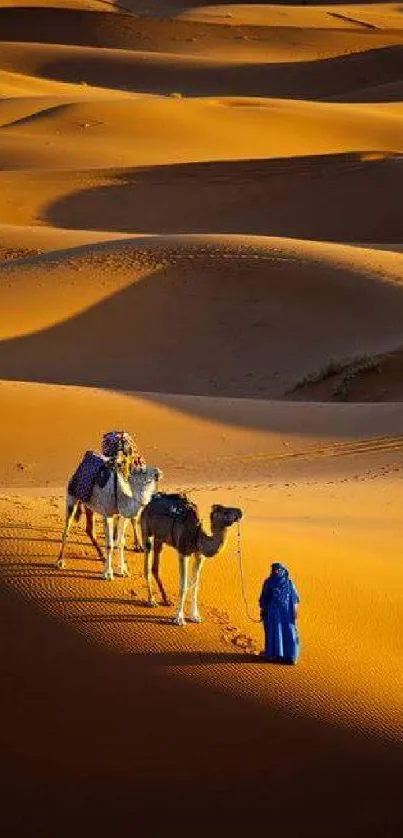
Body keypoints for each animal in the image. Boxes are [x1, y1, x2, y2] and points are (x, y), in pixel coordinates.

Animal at [141, 496, 243, 628]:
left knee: (155, 567)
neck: (198, 534)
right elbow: (183, 585)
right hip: (146, 530)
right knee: (147, 566)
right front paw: (179, 618)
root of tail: (148, 505)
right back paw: (152, 601)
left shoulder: (199, 555)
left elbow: (195, 585)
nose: (240, 512)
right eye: (225, 512)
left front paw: (195, 616)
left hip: (159, 538)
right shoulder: (183, 552)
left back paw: (166, 600)